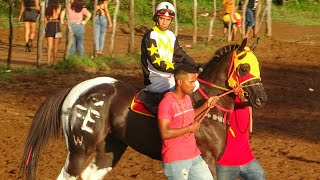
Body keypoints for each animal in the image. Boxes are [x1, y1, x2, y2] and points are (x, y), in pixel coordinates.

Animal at [20, 37, 268, 179]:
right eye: (244, 68)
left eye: (257, 66)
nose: (261, 98)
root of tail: (76, 90)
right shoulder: (205, 159)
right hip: (79, 148)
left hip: (110, 149)